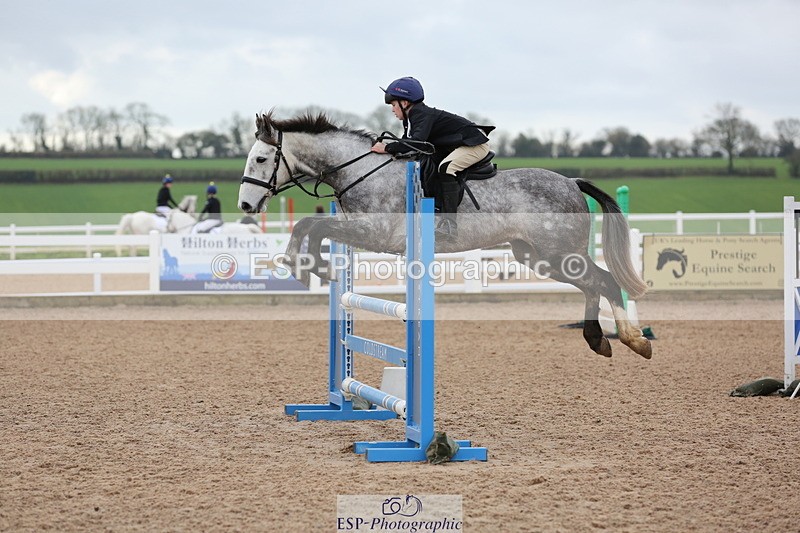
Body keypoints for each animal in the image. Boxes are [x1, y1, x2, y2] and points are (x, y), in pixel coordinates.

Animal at [237, 111, 651, 359]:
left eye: (260, 159)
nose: (244, 205)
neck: (360, 169)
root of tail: (571, 181)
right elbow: (309, 226)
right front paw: (308, 266)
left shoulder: (374, 232)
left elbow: (313, 224)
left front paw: (310, 267)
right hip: (538, 257)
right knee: (592, 285)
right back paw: (599, 339)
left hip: (559, 252)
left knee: (605, 282)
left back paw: (635, 341)